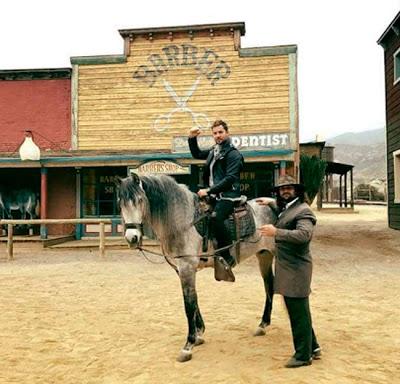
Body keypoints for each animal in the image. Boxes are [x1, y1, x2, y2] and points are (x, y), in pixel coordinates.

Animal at [117, 174, 276, 364]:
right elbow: (194, 300)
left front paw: (188, 345)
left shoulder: (187, 268)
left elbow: (188, 305)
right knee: (269, 286)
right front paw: (199, 334)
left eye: (140, 200)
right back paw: (263, 325)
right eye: (120, 203)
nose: (132, 238)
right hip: (264, 255)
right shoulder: (181, 270)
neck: (182, 220)